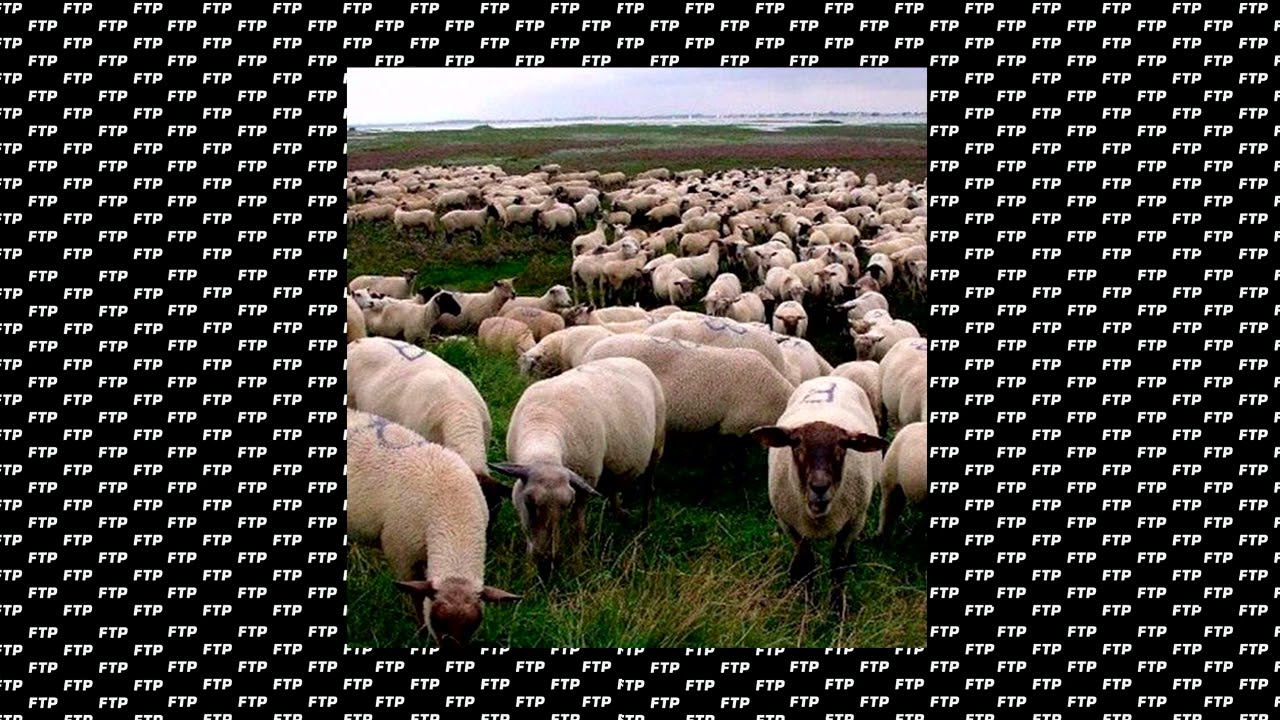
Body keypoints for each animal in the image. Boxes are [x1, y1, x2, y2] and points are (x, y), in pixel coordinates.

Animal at [490, 357, 667, 576]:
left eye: (568, 504)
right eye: (529, 502)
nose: (548, 562)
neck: (545, 424)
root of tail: (631, 359)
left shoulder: (584, 484)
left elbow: (577, 529)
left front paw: (577, 566)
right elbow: (527, 530)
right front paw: (530, 569)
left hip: (657, 446)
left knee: (648, 488)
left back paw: (644, 523)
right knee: (613, 486)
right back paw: (619, 513)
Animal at [749, 376, 888, 612]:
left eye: (843, 444)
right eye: (796, 443)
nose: (819, 486)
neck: (818, 518)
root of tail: (831, 377)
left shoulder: (852, 523)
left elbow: (838, 566)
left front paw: (836, 608)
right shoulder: (790, 525)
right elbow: (807, 564)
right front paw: (809, 605)